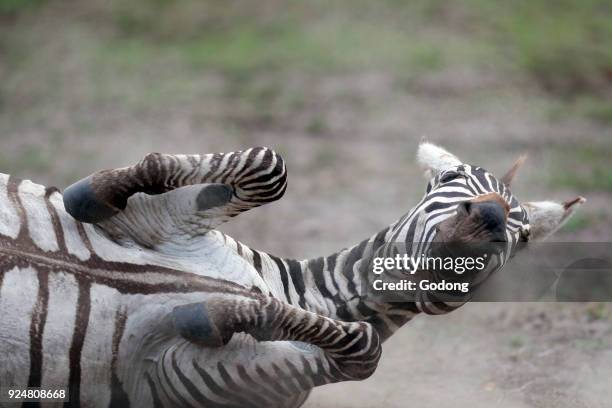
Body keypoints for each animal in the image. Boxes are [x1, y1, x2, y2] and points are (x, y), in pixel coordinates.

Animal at [0, 142, 584, 406]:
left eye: (523, 236)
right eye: (449, 179)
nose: (487, 218)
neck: (299, 295)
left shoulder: (176, 379)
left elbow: (365, 345)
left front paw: (214, 314)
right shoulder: (153, 221)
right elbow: (269, 166)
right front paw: (91, 193)